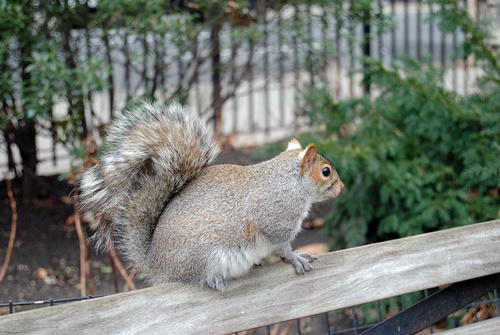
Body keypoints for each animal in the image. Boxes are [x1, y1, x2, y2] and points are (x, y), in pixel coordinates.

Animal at [79, 102, 344, 292]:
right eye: (326, 171)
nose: (341, 187)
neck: (291, 183)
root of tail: (156, 264)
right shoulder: (276, 219)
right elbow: (281, 245)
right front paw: (295, 257)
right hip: (203, 256)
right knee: (197, 277)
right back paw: (212, 279)